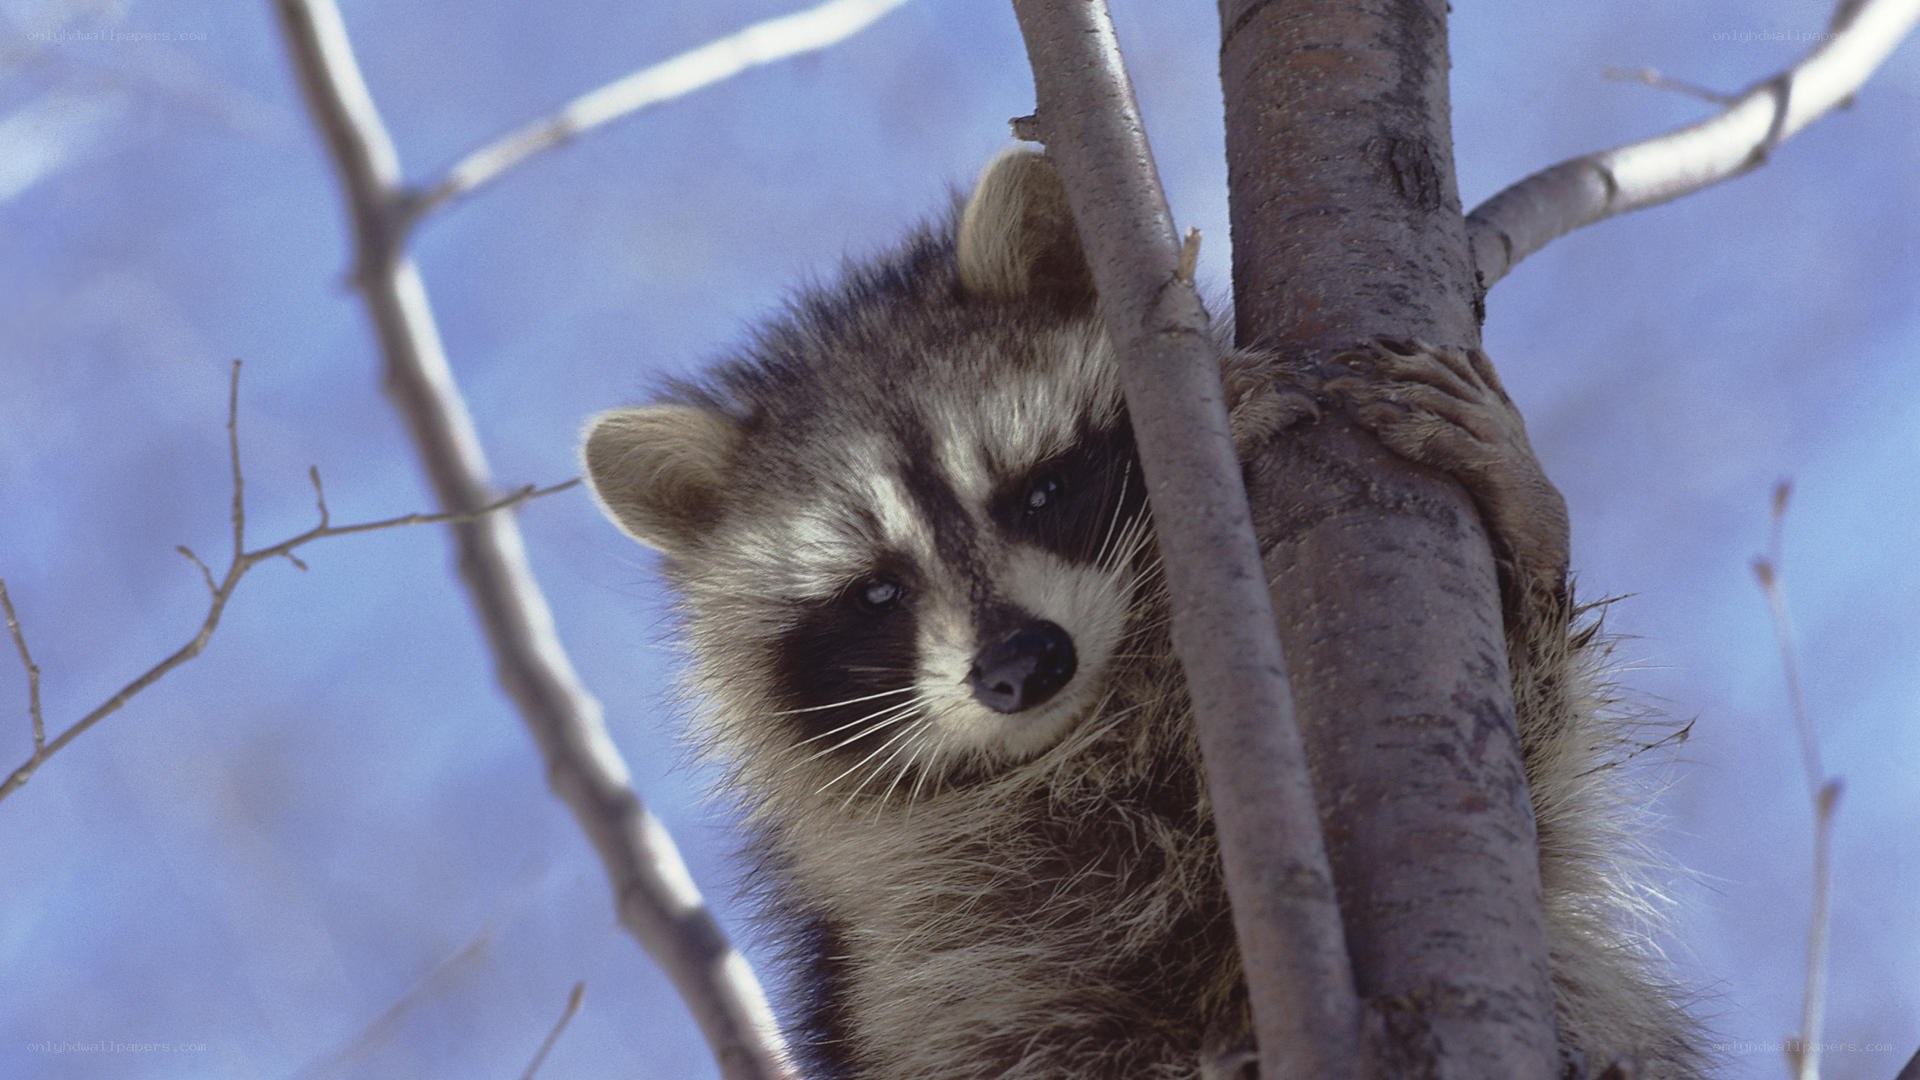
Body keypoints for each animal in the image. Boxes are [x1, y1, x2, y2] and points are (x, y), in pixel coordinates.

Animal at [582, 150, 1699, 1078]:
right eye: (879, 592)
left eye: (1040, 491)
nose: (1021, 665)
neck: (1104, 725)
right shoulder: (919, 942)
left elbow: (1540, 795)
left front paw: (1526, 531)